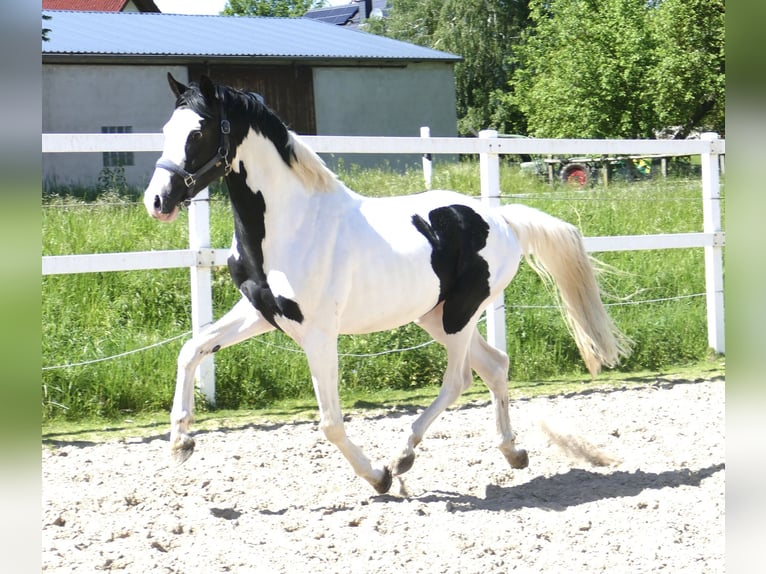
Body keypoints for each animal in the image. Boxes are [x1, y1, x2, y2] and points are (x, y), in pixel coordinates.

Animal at [142, 72, 632, 496]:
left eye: (198, 132)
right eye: (165, 129)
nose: (158, 201)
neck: (291, 225)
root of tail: (503, 218)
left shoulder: (318, 333)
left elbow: (330, 421)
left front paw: (377, 476)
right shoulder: (261, 314)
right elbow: (192, 349)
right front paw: (181, 442)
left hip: (460, 314)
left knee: (459, 379)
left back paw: (402, 457)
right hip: (435, 315)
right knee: (494, 365)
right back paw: (513, 453)